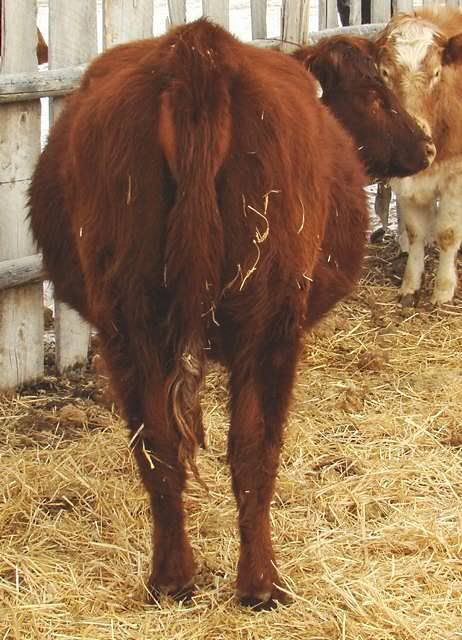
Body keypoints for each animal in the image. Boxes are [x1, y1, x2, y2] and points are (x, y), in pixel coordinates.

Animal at [29, 19, 369, 607]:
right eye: (376, 90)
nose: (425, 145)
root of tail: (198, 52)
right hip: (271, 320)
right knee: (255, 447)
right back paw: (261, 585)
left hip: (131, 318)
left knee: (160, 444)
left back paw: (173, 578)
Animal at [375, 8, 462, 305]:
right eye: (385, 73)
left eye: (436, 72)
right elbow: (415, 233)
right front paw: (410, 285)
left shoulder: (456, 177)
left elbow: (448, 233)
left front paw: (443, 290)